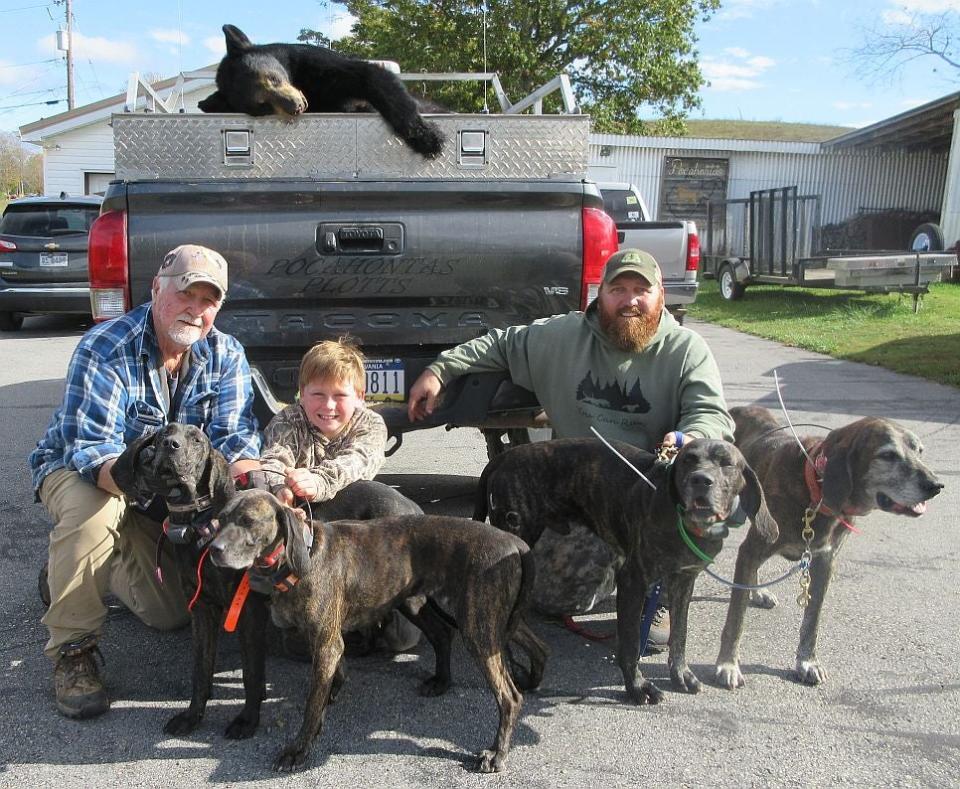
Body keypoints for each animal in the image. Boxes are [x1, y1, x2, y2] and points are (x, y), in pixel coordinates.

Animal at [202, 24, 446, 159]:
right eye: (262, 105)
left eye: (273, 78)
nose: (295, 107)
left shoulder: (315, 62)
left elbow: (372, 78)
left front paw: (428, 138)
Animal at [207, 490, 548, 772]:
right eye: (220, 520)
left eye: (248, 521)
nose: (213, 550)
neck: (300, 557)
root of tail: (514, 543)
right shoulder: (327, 640)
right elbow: (335, 673)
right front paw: (332, 694)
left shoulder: (325, 641)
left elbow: (311, 705)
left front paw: (298, 749)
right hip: (457, 613)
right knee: (506, 642)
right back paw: (454, 681)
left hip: (478, 626)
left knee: (509, 697)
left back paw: (497, 753)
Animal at [472, 438, 780, 700]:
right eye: (688, 461)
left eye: (726, 463)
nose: (700, 480)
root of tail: (504, 456)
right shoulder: (633, 581)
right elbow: (631, 643)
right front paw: (637, 687)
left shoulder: (683, 581)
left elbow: (679, 635)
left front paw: (680, 675)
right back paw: (515, 667)